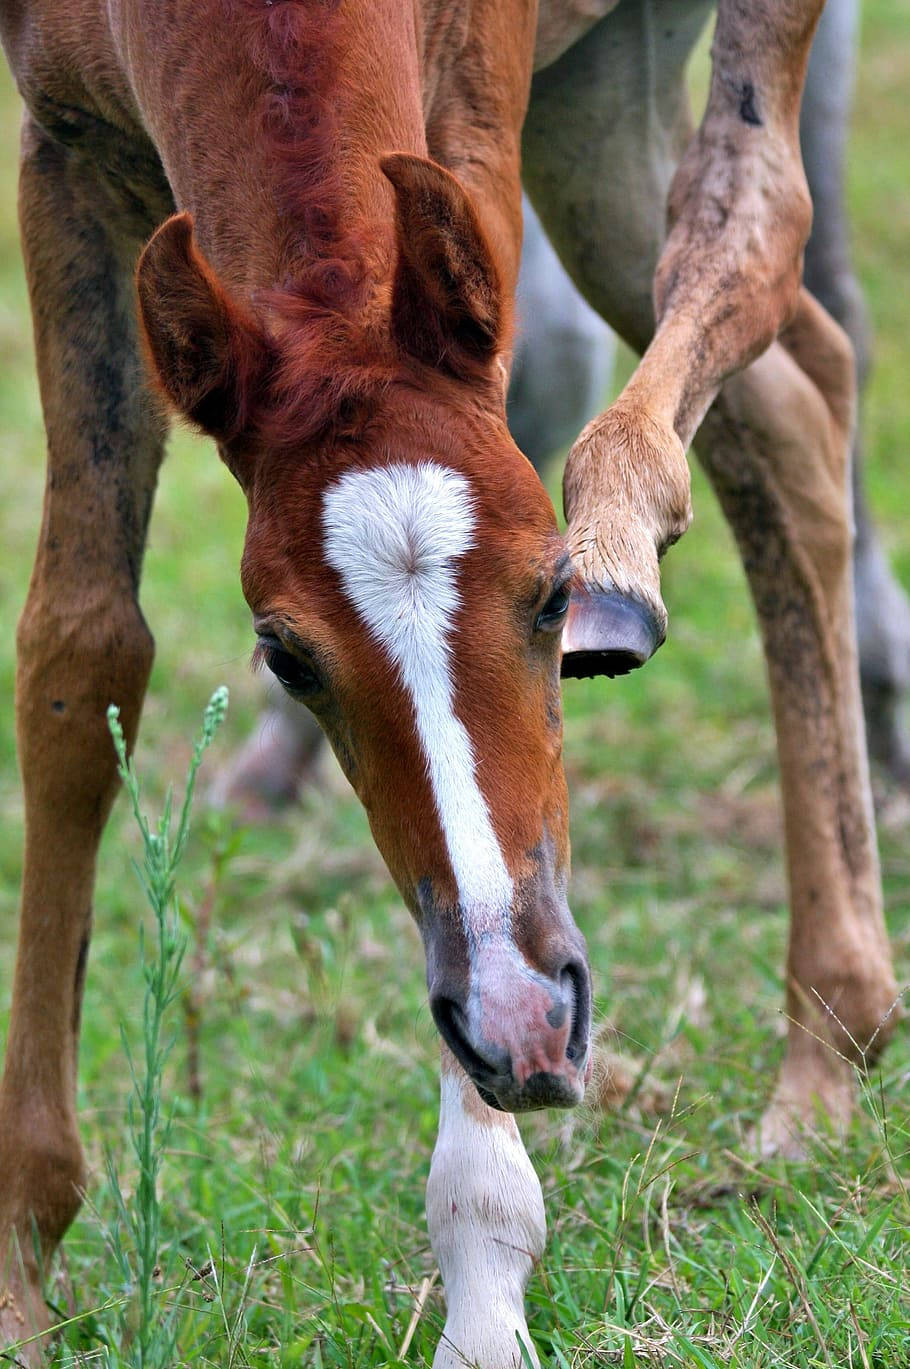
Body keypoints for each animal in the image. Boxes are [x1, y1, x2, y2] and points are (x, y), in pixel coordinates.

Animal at [0, 2, 892, 1369]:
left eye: (546, 593)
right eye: (284, 654)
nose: (523, 1026)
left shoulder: (469, 125)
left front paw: (482, 1282)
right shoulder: (66, 154)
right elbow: (80, 653)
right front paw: (21, 1268)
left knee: (751, 225)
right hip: (596, 98)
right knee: (790, 402)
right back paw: (829, 1044)